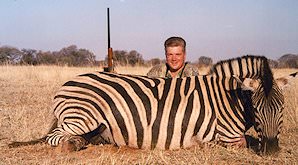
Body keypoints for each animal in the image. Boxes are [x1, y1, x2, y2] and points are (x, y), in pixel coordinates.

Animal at [8, 55, 296, 155]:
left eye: (281, 109)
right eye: (256, 109)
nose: (272, 151)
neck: (230, 97)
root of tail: (66, 83)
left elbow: (252, 139)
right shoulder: (228, 135)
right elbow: (246, 141)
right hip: (82, 115)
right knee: (56, 137)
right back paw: (73, 144)